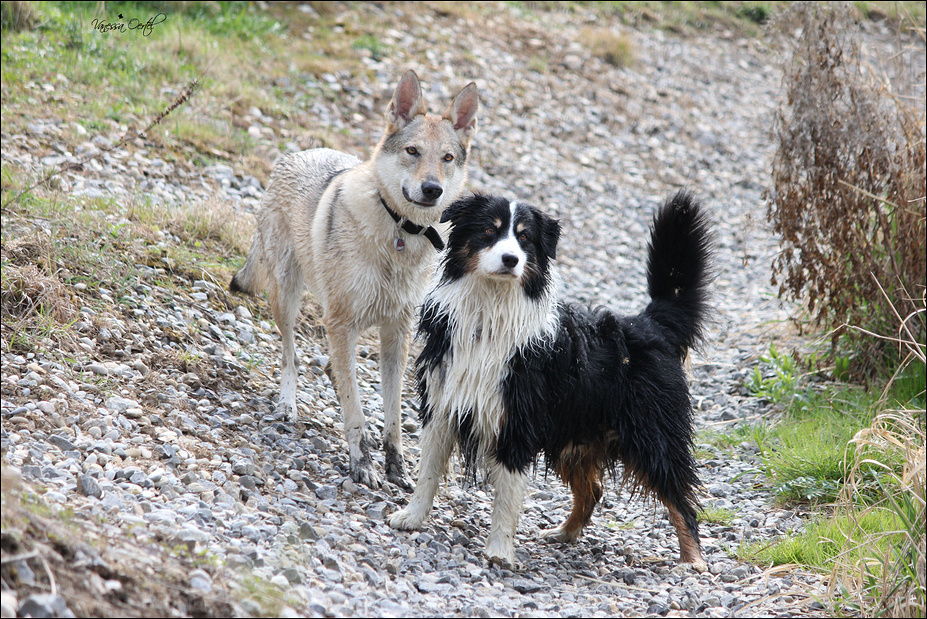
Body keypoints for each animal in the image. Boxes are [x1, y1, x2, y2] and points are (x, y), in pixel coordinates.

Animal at [231, 71, 478, 490]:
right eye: (412, 151)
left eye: (447, 158)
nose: (433, 189)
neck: (399, 233)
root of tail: (298, 153)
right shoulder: (341, 323)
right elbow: (356, 408)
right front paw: (361, 463)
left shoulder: (396, 334)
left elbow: (392, 414)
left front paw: (396, 467)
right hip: (289, 299)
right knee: (291, 356)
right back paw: (287, 405)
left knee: (331, 368)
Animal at [388, 190, 716, 572]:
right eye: (489, 230)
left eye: (525, 238)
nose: (511, 259)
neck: (490, 309)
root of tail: (650, 322)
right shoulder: (442, 404)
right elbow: (427, 472)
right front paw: (411, 518)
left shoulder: (516, 421)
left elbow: (507, 496)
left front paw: (499, 552)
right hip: (575, 432)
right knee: (593, 490)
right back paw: (564, 533)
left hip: (653, 435)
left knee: (681, 499)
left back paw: (693, 561)